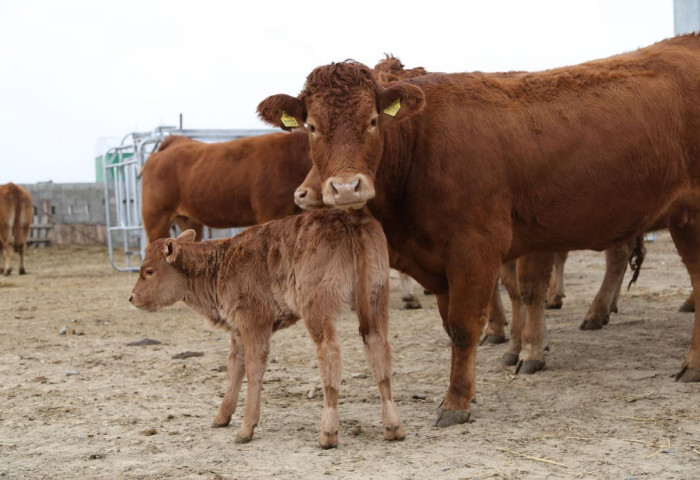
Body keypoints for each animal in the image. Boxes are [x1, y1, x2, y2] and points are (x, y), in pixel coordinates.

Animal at [127, 208, 404, 448]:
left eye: (148, 271)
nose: (131, 298)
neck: (219, 265)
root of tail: (346, 217)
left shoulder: (253, 324)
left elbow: (253, 370)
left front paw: (245, 429)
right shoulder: (237, 331)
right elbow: (235, 368)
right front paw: (222, 417)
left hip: (318, 312)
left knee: (330, 354)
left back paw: (328, 433)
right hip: (376, 302)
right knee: (379, 350)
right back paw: (393, 427)